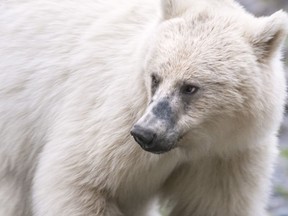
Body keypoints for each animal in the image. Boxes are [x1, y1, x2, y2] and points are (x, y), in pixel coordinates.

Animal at [0, 0, 288, 215]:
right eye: (155, 77)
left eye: (190, 87)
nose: (145, 133)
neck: (194, 144)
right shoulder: (113, 121)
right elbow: (78, 179)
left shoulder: (228, 155)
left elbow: (213, 204)